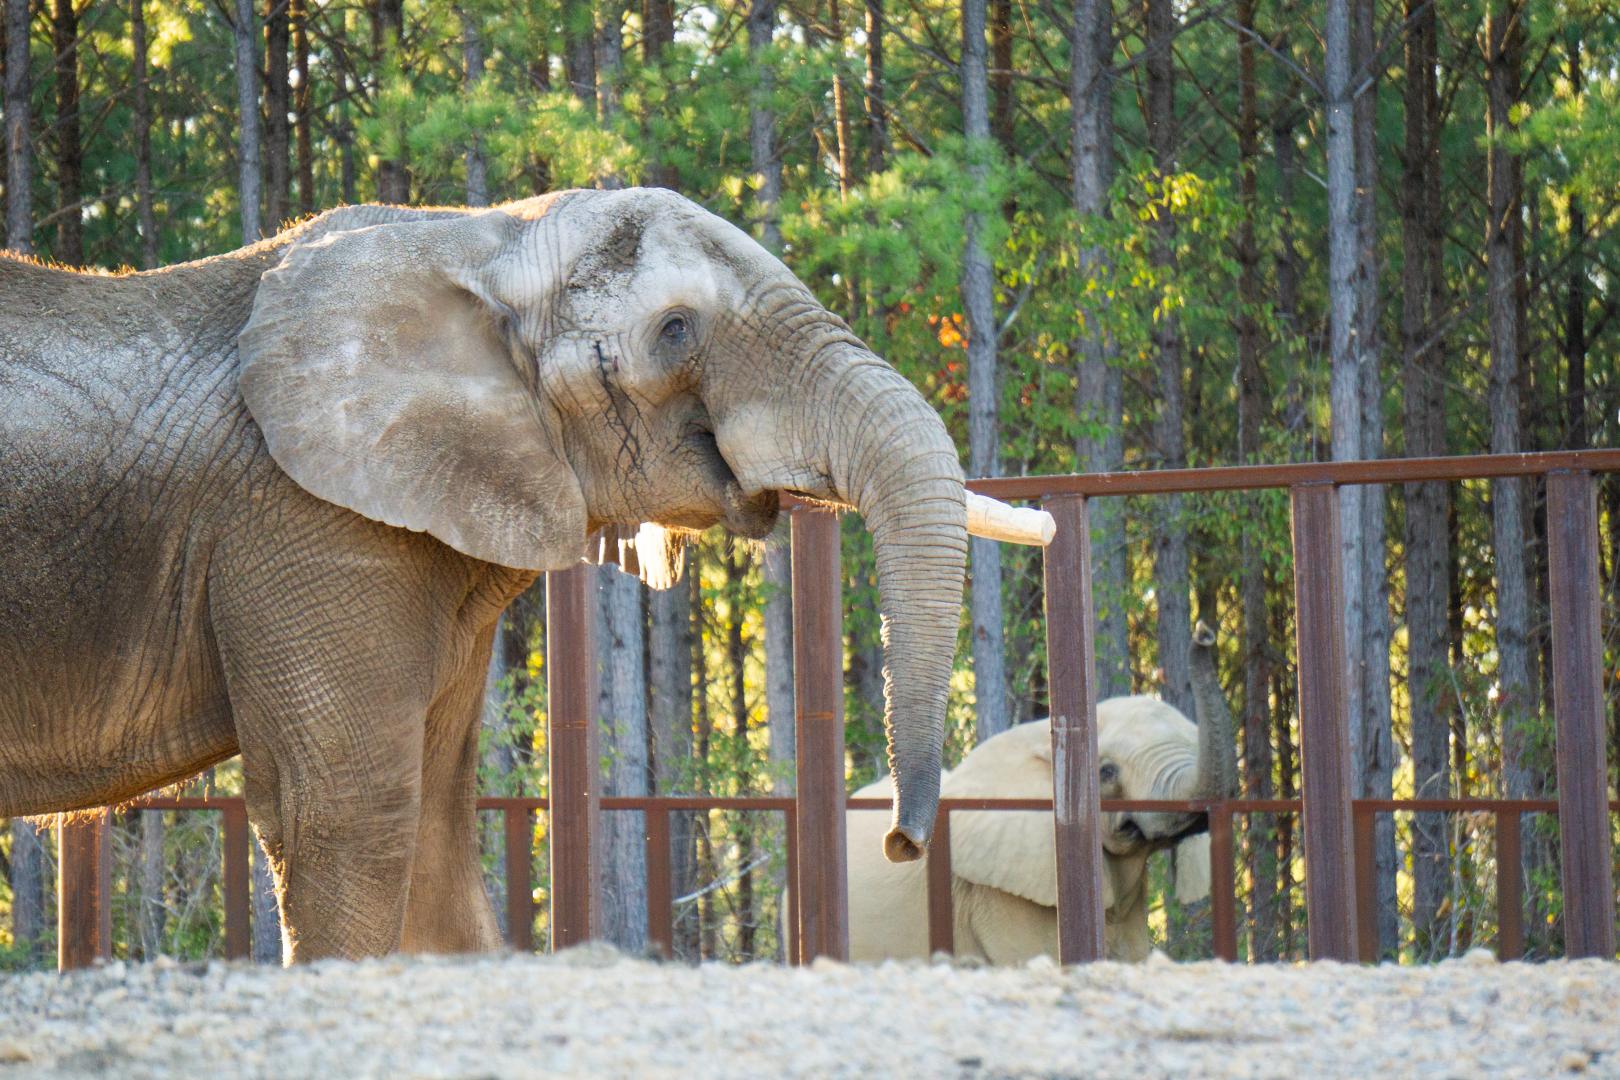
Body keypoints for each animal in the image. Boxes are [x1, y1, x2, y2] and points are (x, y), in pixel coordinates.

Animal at [0, 188, 992, 961]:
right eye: (675, 331)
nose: (900, 842)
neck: (480, 239)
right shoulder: (297, 516)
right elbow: (348, 811)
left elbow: (437, 824)